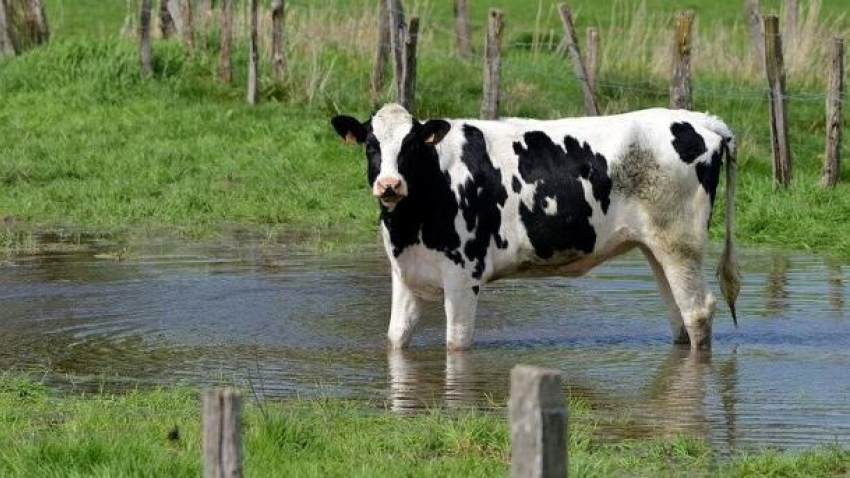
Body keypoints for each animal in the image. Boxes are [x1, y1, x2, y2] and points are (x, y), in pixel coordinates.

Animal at [328, 104, 740, 352]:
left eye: (411, 145)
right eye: (371, 145)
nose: (389, 185)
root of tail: (698, 120)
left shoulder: (463, 276)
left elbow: (456, 345)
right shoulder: (405, 273)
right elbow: (395, 339)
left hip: (681, 243)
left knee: (697, 312)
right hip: (657, 246)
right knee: (678, 314)